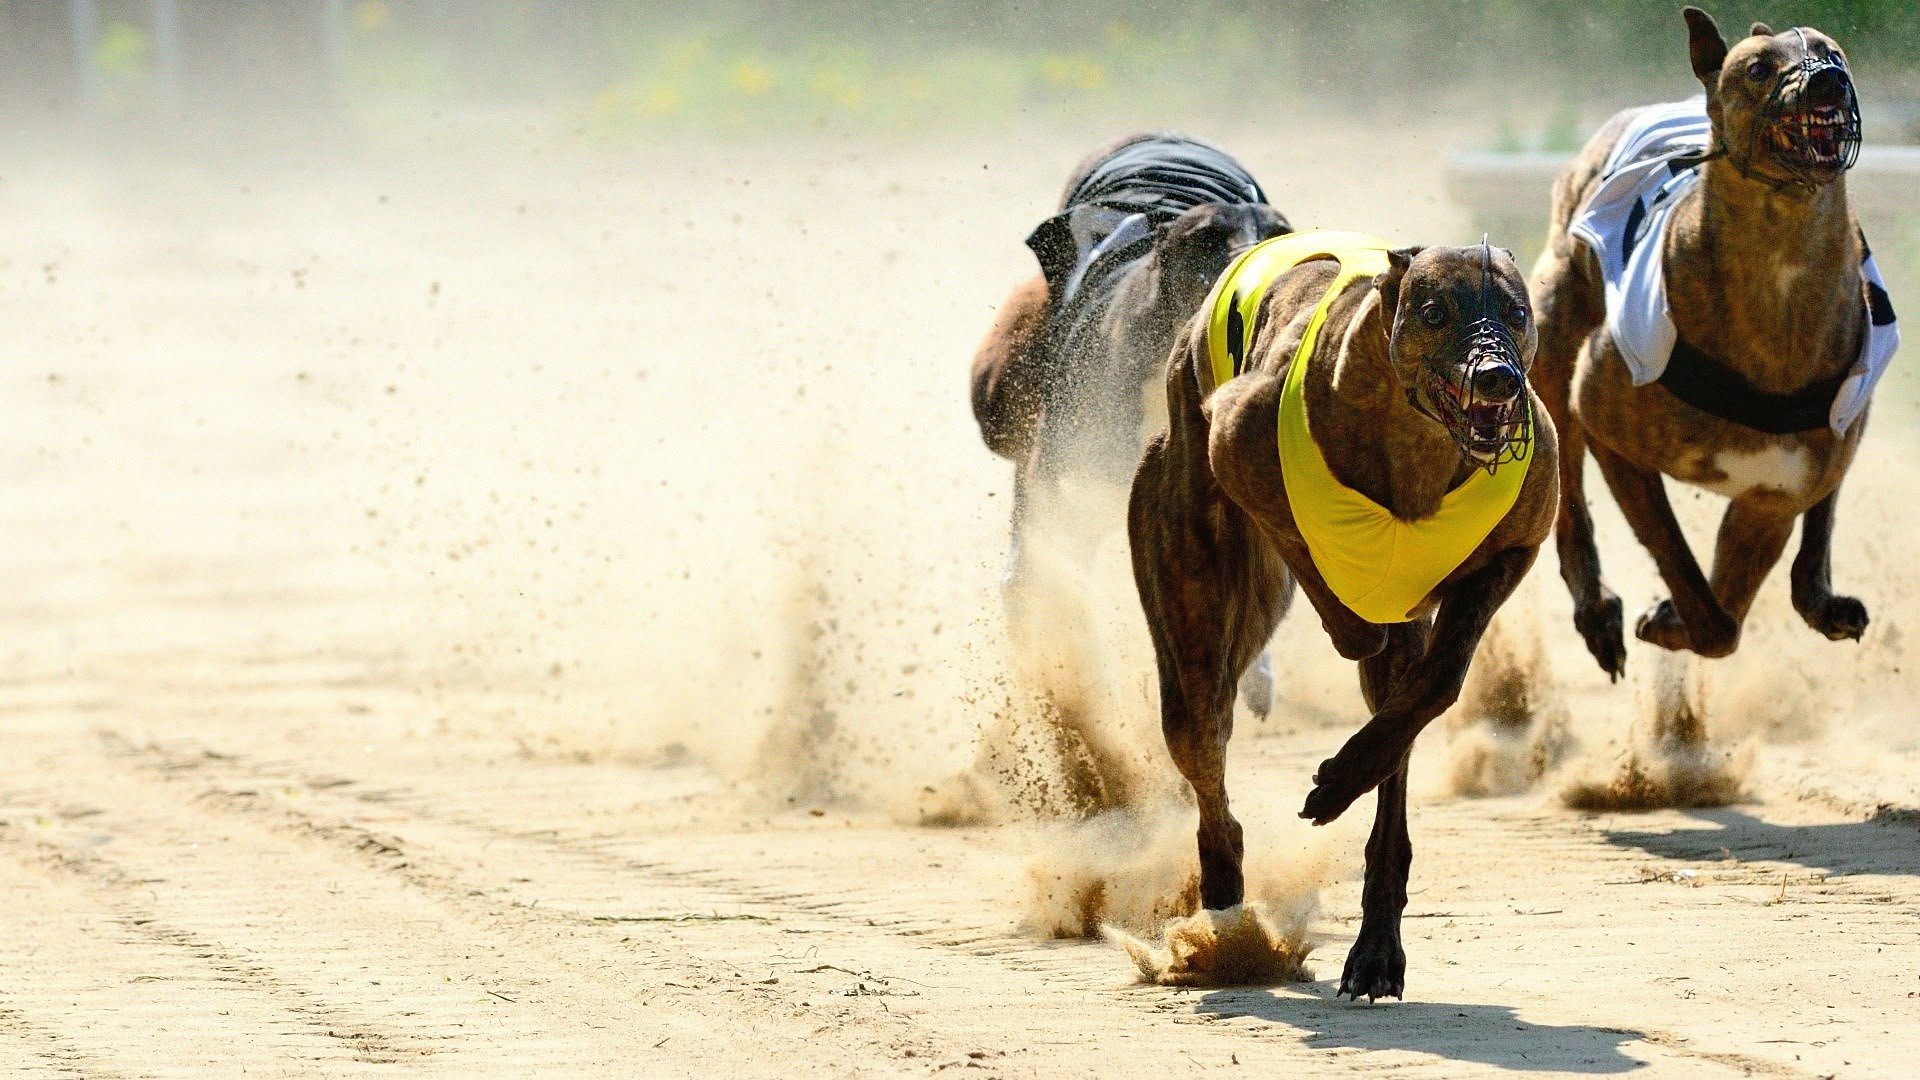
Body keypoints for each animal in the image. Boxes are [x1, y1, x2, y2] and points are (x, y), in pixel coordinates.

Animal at [1128, 231, 1551, 999]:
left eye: (1516, 311)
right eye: (1436, 312)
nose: (1499, 378)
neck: (1417, 440)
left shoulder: (1511, 550)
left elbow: (1433, 685)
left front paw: (1345, 776)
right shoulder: (1240, 441)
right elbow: (1314, 560)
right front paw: (1352, 621)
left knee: (1393, 747)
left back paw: (1376, 943)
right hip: (1189, 584)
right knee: (1203, 735)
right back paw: (1225, 909)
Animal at [1528, 8, 1889, 672]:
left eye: (1833, 52)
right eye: (1759, 67)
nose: (1828, 81)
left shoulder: (1771, 496)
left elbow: (1728, 606)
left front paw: (1675, 619)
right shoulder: (1605, 420)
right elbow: (1688, 578)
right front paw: (1671, 617)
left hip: (1851, 412)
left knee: (1824, 512)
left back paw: (1822, 599)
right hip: (1553, 333)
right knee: (1567, 493)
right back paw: (1597, 611)